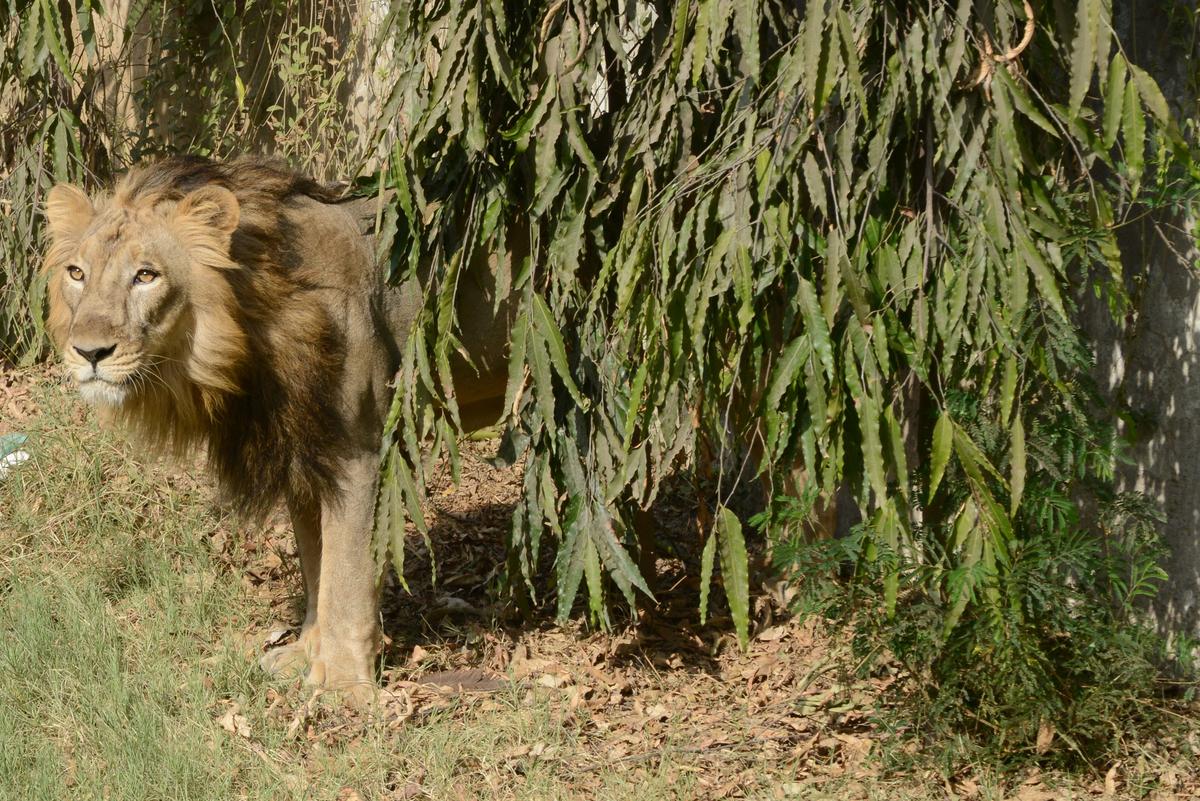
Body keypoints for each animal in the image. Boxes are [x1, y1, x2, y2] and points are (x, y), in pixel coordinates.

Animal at [43, 155, 510, 700]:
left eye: (146, 275)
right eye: (77, 273)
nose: (88, 352)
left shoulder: (360, 451)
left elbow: (346, 574)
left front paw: (343, 687)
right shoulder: (304, 451)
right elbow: (316, 564)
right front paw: (306, 655)